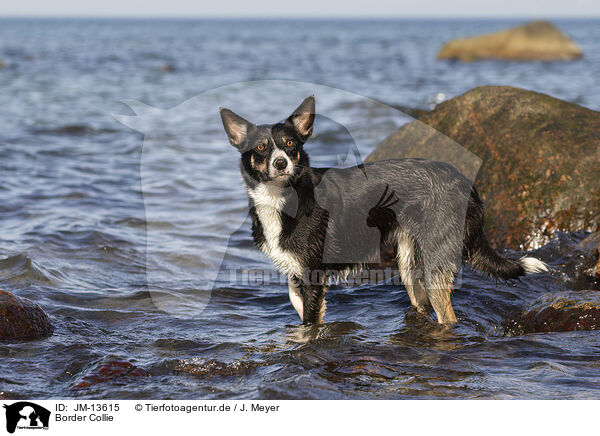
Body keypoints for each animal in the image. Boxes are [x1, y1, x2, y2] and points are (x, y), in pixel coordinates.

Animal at [220, 96, 548, 328]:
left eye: (290, 144)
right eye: (261, 148)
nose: (281, 163)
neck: (285, 197)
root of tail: (467, 184)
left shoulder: (313, 275)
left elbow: (309, 323)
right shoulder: (296, 272)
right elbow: (297, 304)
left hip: (435, 262)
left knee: (448, 317)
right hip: (408, 263)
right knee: (422, 305)